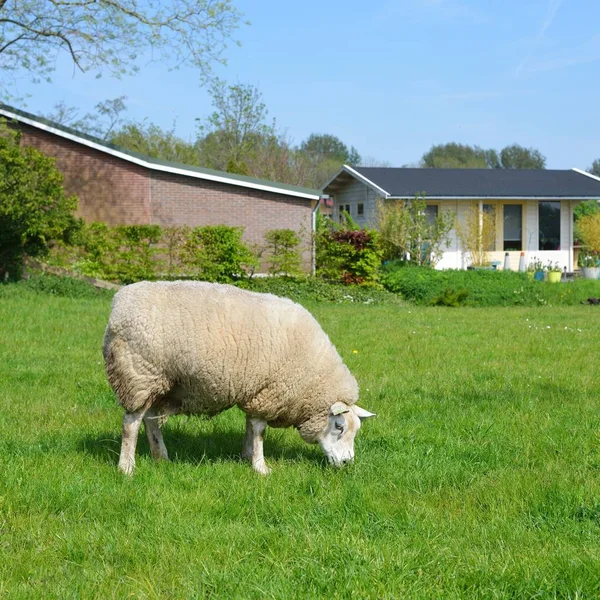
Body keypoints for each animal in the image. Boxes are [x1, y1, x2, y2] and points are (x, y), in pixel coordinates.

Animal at [103, 280, 376, 474]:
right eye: (339, 427)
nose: (346, 464)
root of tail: (118, 302)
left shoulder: (255, 390)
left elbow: (250, 426)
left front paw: (247, 456)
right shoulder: (268, 392)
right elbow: (259, 430)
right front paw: (261, 467)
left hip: (158, 383)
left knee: (150, 421)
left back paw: (161, 458)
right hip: (138, 375)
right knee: (131, 423)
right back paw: (126, 467)